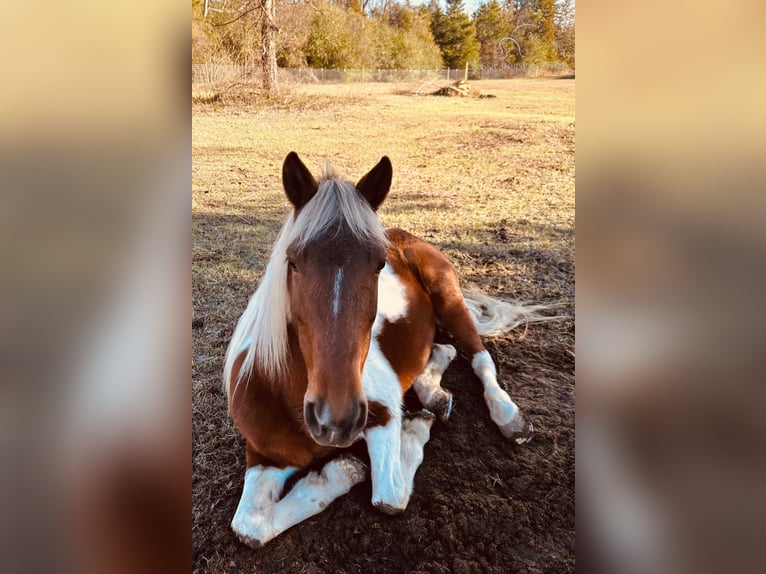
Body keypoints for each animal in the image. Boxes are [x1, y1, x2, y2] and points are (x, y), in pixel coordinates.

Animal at [224, 153, 560, 548]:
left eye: (379, 264)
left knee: (480, 358)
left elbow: (389, 496)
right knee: (444, 350)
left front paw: (381, 449)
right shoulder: (265, 454)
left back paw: (509, 417)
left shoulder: (382, 414)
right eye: (292, 261)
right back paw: (434, 394)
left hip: (449, 299)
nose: (335, 419)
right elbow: (248, 526)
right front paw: (335, 474)